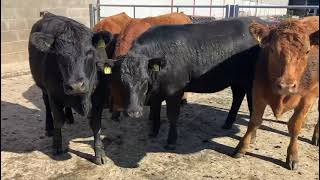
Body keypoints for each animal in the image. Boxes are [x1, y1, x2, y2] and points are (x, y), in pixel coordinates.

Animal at [28, 12, 113, 165]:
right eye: (59, 55)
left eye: (89, 52)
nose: (76, 86)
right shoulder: (54, 94)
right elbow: (58, 120)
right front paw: (56, 146)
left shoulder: (99, 96)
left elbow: (96, 124)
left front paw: (99, 153)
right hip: (43, 88)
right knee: (47, 105)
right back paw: (49, 127)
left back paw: (69, 117)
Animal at [232, 15, 320, 170]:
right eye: (272, 50)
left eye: (307, 51)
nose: (286, 85)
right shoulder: (258, 92)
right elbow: (254, 121)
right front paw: (242, 147)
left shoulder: (308, 97)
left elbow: (295, 126)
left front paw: (292, 155)